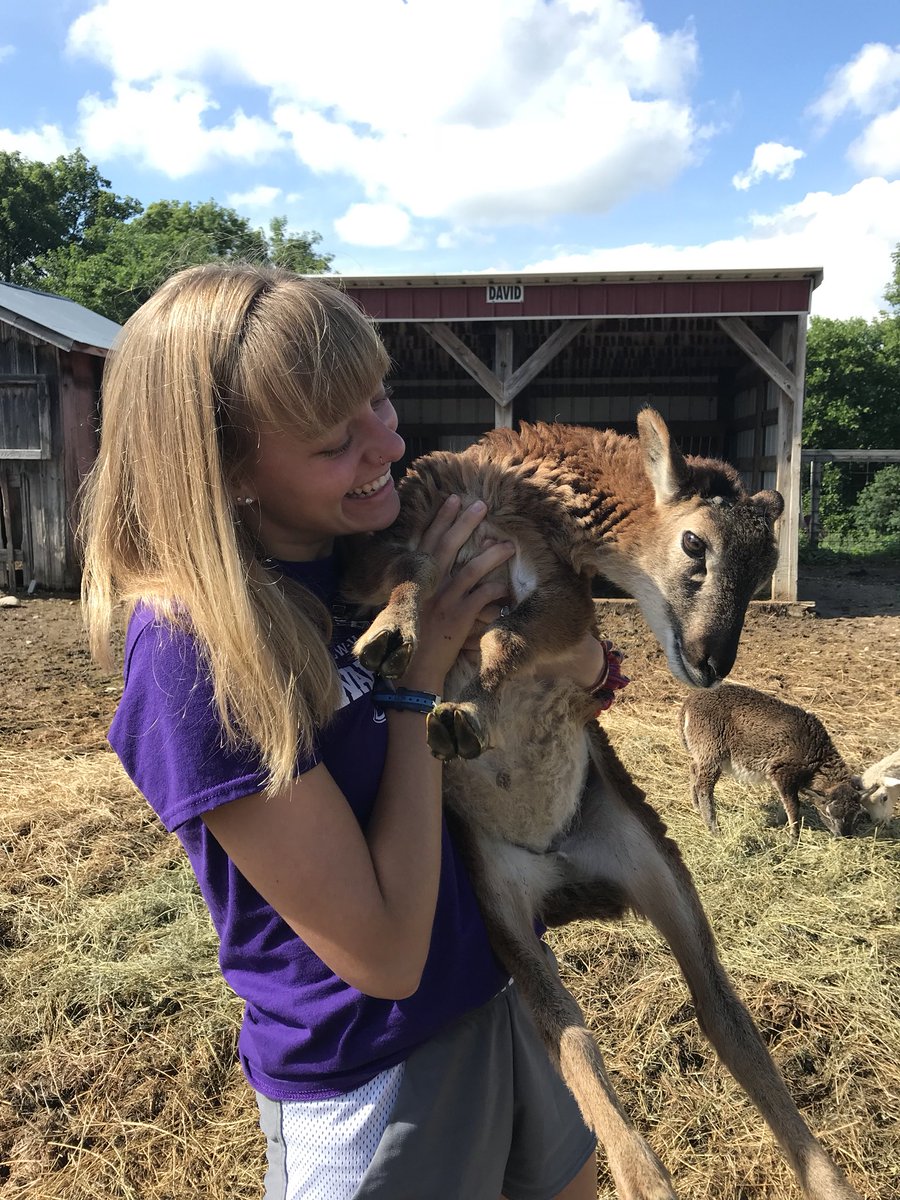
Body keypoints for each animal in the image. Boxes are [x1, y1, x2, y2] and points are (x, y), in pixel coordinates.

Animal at [679, 683, 875, 836]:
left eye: (856, 814)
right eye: (828, 813)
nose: (844, 835)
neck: (816, 759)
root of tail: (688, 704)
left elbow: (785, 803)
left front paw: (777, 824)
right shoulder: (783, 772)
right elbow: (793, 806)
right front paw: (793, 837)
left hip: (701, 751)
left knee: (693, 769)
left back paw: (696, 807)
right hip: (712, 750)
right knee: (704, 787)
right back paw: (714, 829)